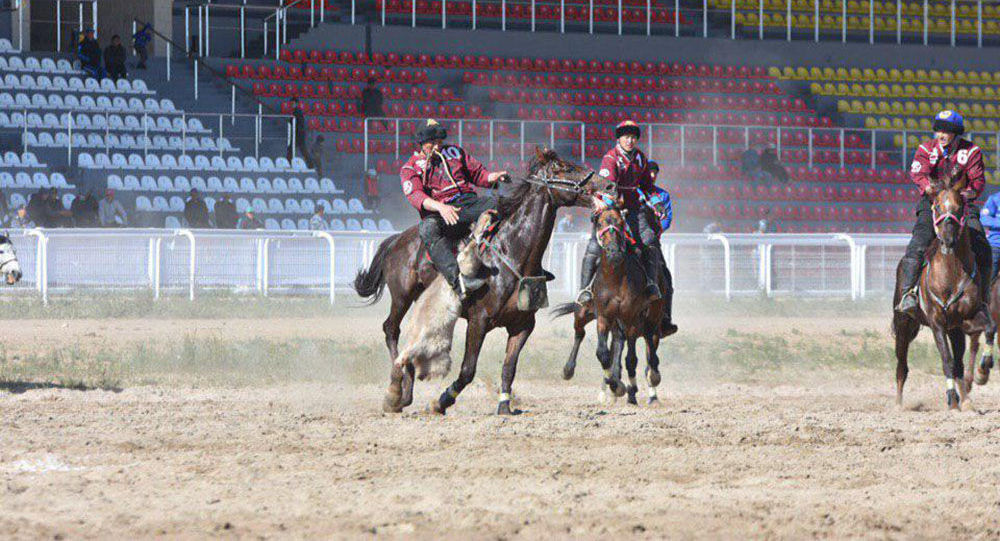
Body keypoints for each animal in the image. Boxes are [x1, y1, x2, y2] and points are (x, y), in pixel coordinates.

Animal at [356, 148, 596, 414]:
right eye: (564, 168)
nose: (603, 184)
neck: (510, 252)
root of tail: (397, 239)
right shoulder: (478, 321)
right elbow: (468, 370)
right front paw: (441, 401)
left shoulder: (523, 325)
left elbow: (509, 368)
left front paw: (504, 406)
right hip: (401, 295)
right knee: (390, 329)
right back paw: (396, 392)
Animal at [556, 205, 664, 402]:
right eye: (599, 224)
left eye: (621, 223)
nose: (613, 252)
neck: (615, 279)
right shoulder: (604, 317)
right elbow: (603, 353)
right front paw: (615, 385)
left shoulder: (630, 318)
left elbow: (631, 358)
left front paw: (624, 386)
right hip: (583, 312)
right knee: (579, 333)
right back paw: (568, 369)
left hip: (652, 315)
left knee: (649, 341)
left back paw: (652, 375)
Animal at [896, 173, 996, 410]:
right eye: (938, 206)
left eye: (960, 207)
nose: (948, 239)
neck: (951, 274)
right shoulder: (937, 324)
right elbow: (946, 361)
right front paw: (951, 399)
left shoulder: (970, 316)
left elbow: (990, 329)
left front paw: (983, 370)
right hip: (904, 324)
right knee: (902, 366)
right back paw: (898, 404)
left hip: (955, 329)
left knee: (960, 362)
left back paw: (966, 401)